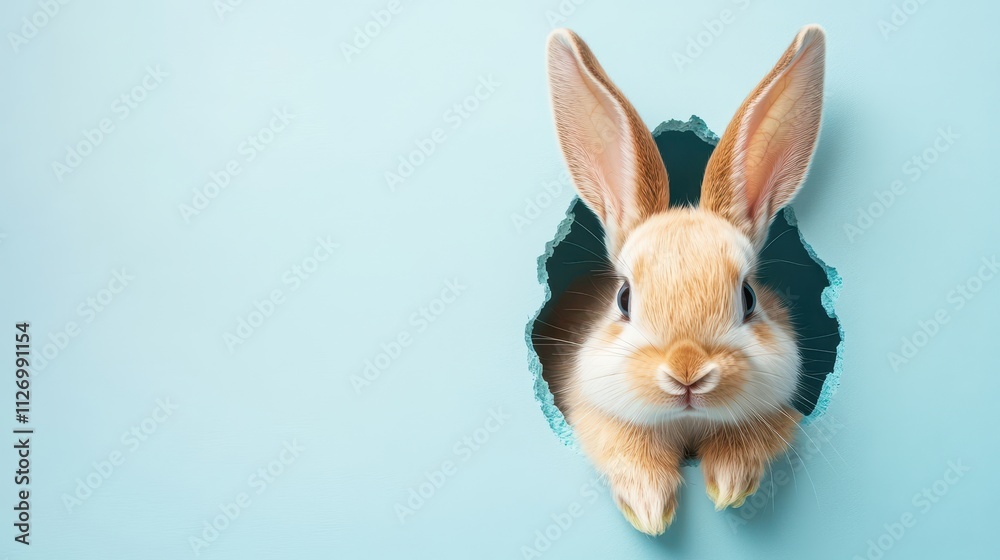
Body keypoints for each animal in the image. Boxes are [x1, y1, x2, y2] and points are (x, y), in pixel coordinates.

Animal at [540, 24, 825, 535]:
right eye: (624, 298)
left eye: (749, 297)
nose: (687, 372)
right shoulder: (591, 413)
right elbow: (626, 448)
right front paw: (650, 509)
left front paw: (730, 484)